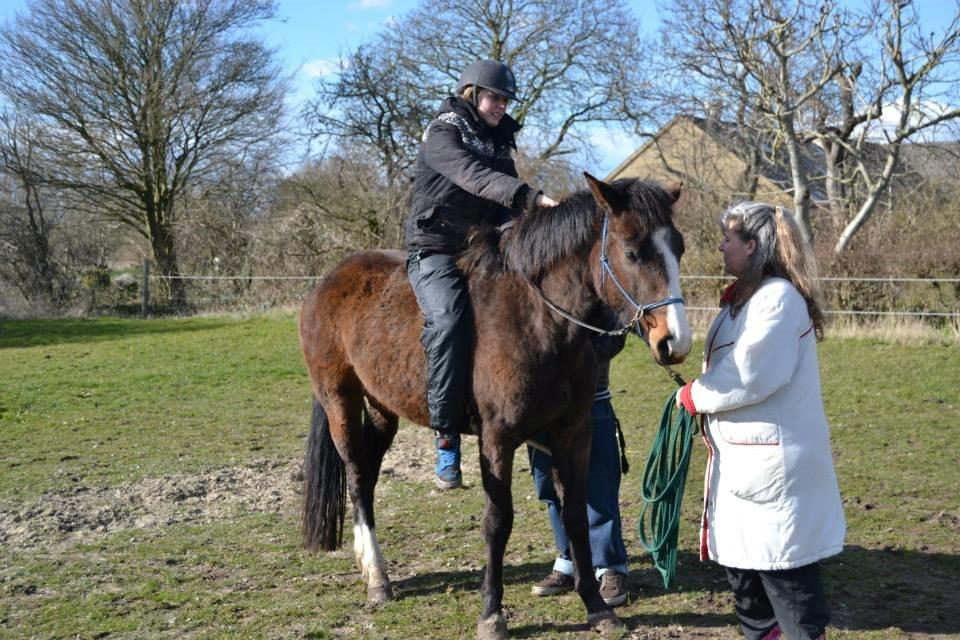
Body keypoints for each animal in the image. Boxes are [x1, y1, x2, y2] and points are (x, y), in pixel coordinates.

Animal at [298, 172, 688, 636]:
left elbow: (576, 514)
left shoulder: (574, 432)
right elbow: (498, 523)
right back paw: (377, 578)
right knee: (357, 477)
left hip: (382, 408)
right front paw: (492, 613)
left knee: (369, 478)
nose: (674, 341)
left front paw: (597, 607)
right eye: (631, 252)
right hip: (339, 401)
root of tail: (327, 281)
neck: (538, 319)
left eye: (679, 248)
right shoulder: (497, 439)